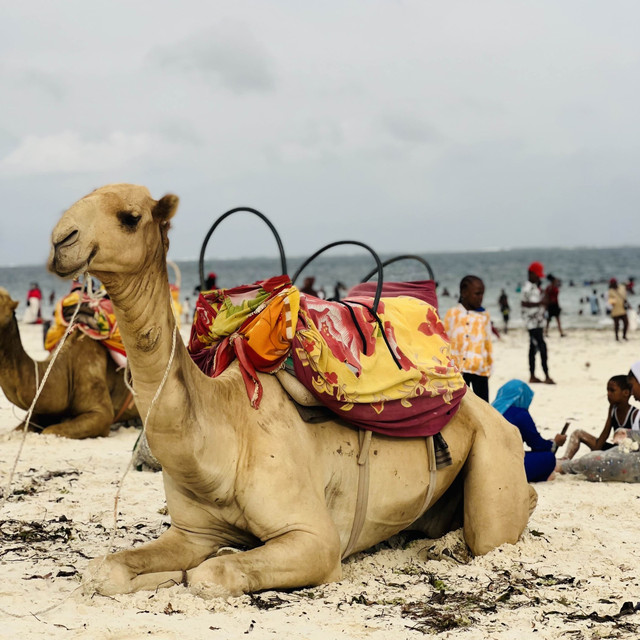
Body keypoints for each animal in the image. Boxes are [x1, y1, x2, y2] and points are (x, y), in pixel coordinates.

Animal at [48, 183, 535, 597]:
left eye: (129, 217)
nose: (59, 240)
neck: (225, 430)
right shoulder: (192, 533)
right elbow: (104, 569)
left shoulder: (315, 539)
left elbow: (210, 573)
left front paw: (202, 566)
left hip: (496, 447)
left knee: (493, 530)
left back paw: (450, 546)